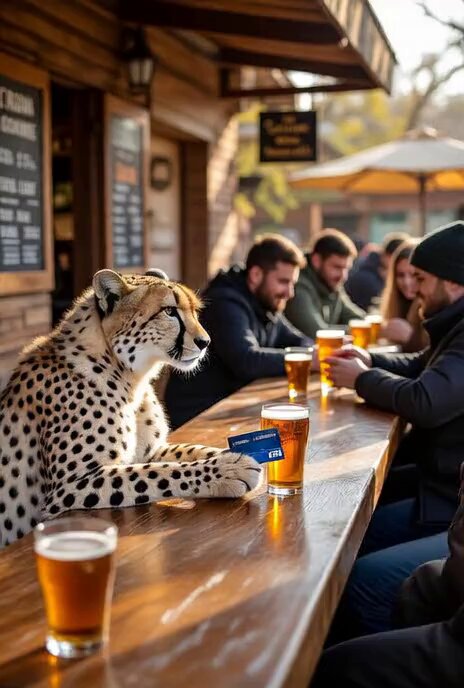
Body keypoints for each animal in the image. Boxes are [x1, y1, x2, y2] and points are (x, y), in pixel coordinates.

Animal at [0, 268, 261, 547]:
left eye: (194, 311)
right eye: (170, 311)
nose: (205, 342)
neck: (129, 376)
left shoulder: (149, 453)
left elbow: (188, 451)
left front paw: (232, 454)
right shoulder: (69, 486)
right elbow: (156, 474)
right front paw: (228, 470)